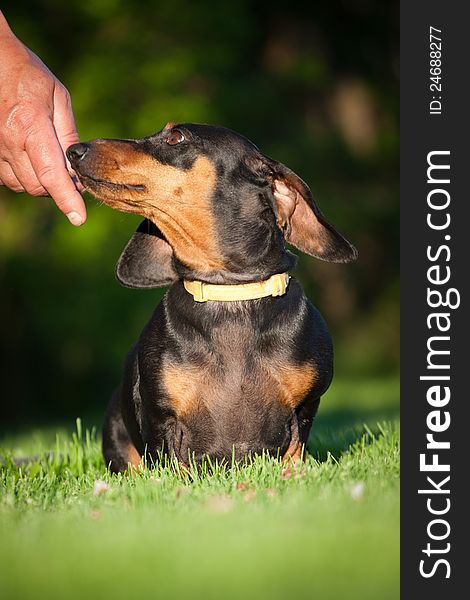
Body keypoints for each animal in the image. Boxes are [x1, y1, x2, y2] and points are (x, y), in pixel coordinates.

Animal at [67, 123, 356, 474]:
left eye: (175, 137)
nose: (73, 150)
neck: (230, 291)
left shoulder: (305, 408)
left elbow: (295, 450)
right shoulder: (160, 418)